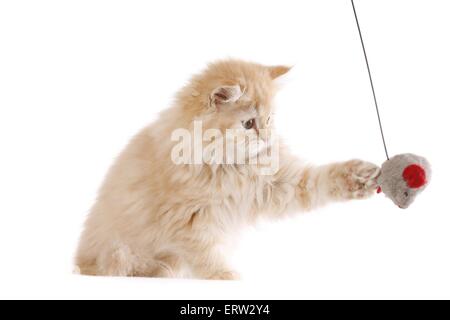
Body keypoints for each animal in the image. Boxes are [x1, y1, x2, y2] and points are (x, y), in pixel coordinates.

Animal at [76, 58, 380, 278]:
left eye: (269, 119)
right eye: (248, 124)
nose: (267, 137)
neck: (230, 168)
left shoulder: (278, 184)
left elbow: (318, 182)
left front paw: (358, 177)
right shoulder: (189, 221)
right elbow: (206, 257)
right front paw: (227, 278)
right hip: (118, 251)